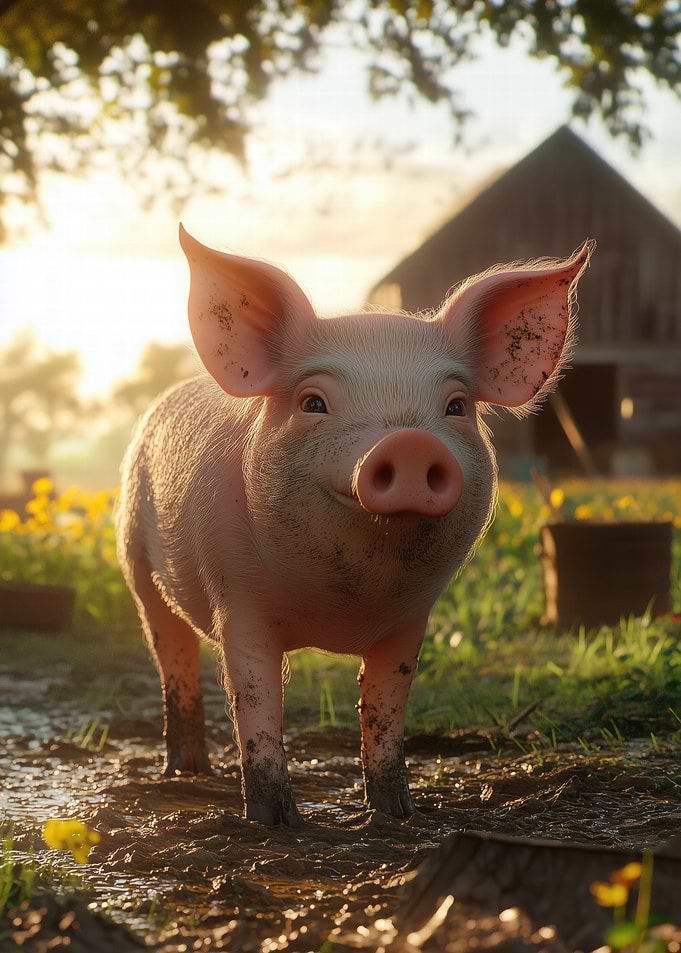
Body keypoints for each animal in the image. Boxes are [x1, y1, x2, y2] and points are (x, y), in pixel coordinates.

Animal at [115, 225, 594, 827]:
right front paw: (276, 825)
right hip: (136, 564)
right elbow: (256, 702)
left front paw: (395, 816)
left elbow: (385, 709)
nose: (409, 442)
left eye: (456, 406)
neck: (342, 610)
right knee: (172, 658)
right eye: (313, 402)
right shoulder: (238, 603)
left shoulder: (410, 619)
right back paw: (185, 775)